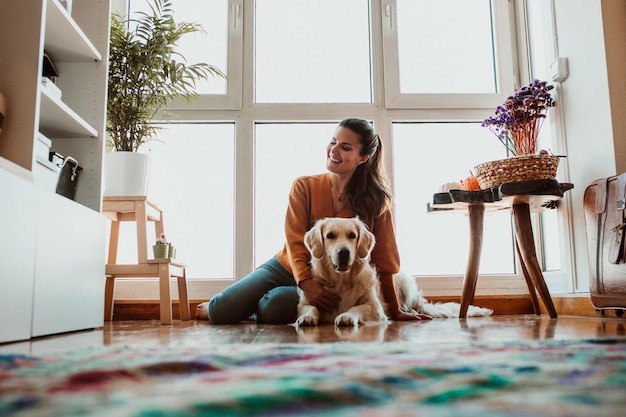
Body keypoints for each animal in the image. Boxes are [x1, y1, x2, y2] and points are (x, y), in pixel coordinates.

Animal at [294, 216, 490, 326]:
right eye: (330, 236)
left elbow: (356, 308)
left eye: (352, 235)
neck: (341, 280)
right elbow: (311, 308)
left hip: (403, 282)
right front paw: (306, 319)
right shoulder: (306, 302)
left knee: (410, 306)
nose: (344, 253)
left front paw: (346, 316)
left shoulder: (375, 306)